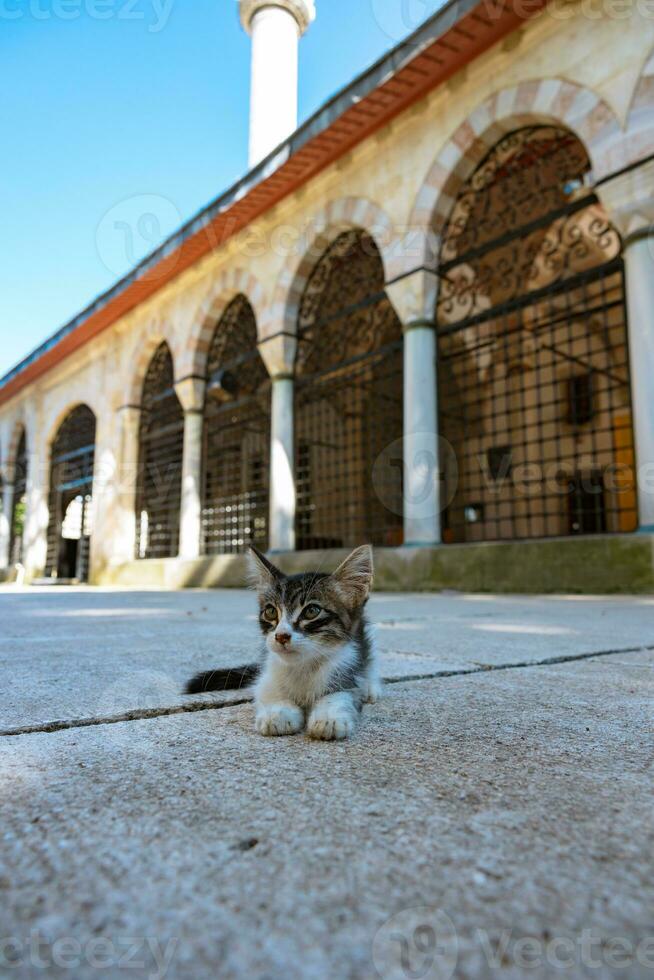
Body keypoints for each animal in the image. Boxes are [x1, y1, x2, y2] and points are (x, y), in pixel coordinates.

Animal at [184, 544, 382, 744]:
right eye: (271, 611)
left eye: (312, 611)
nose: (281, 636)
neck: (302, 666)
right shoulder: (267, 675)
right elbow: (269, 692)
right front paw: (277, 713)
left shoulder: (346, 667)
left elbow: (343, 693)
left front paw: (329, 717)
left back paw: (370, 687)